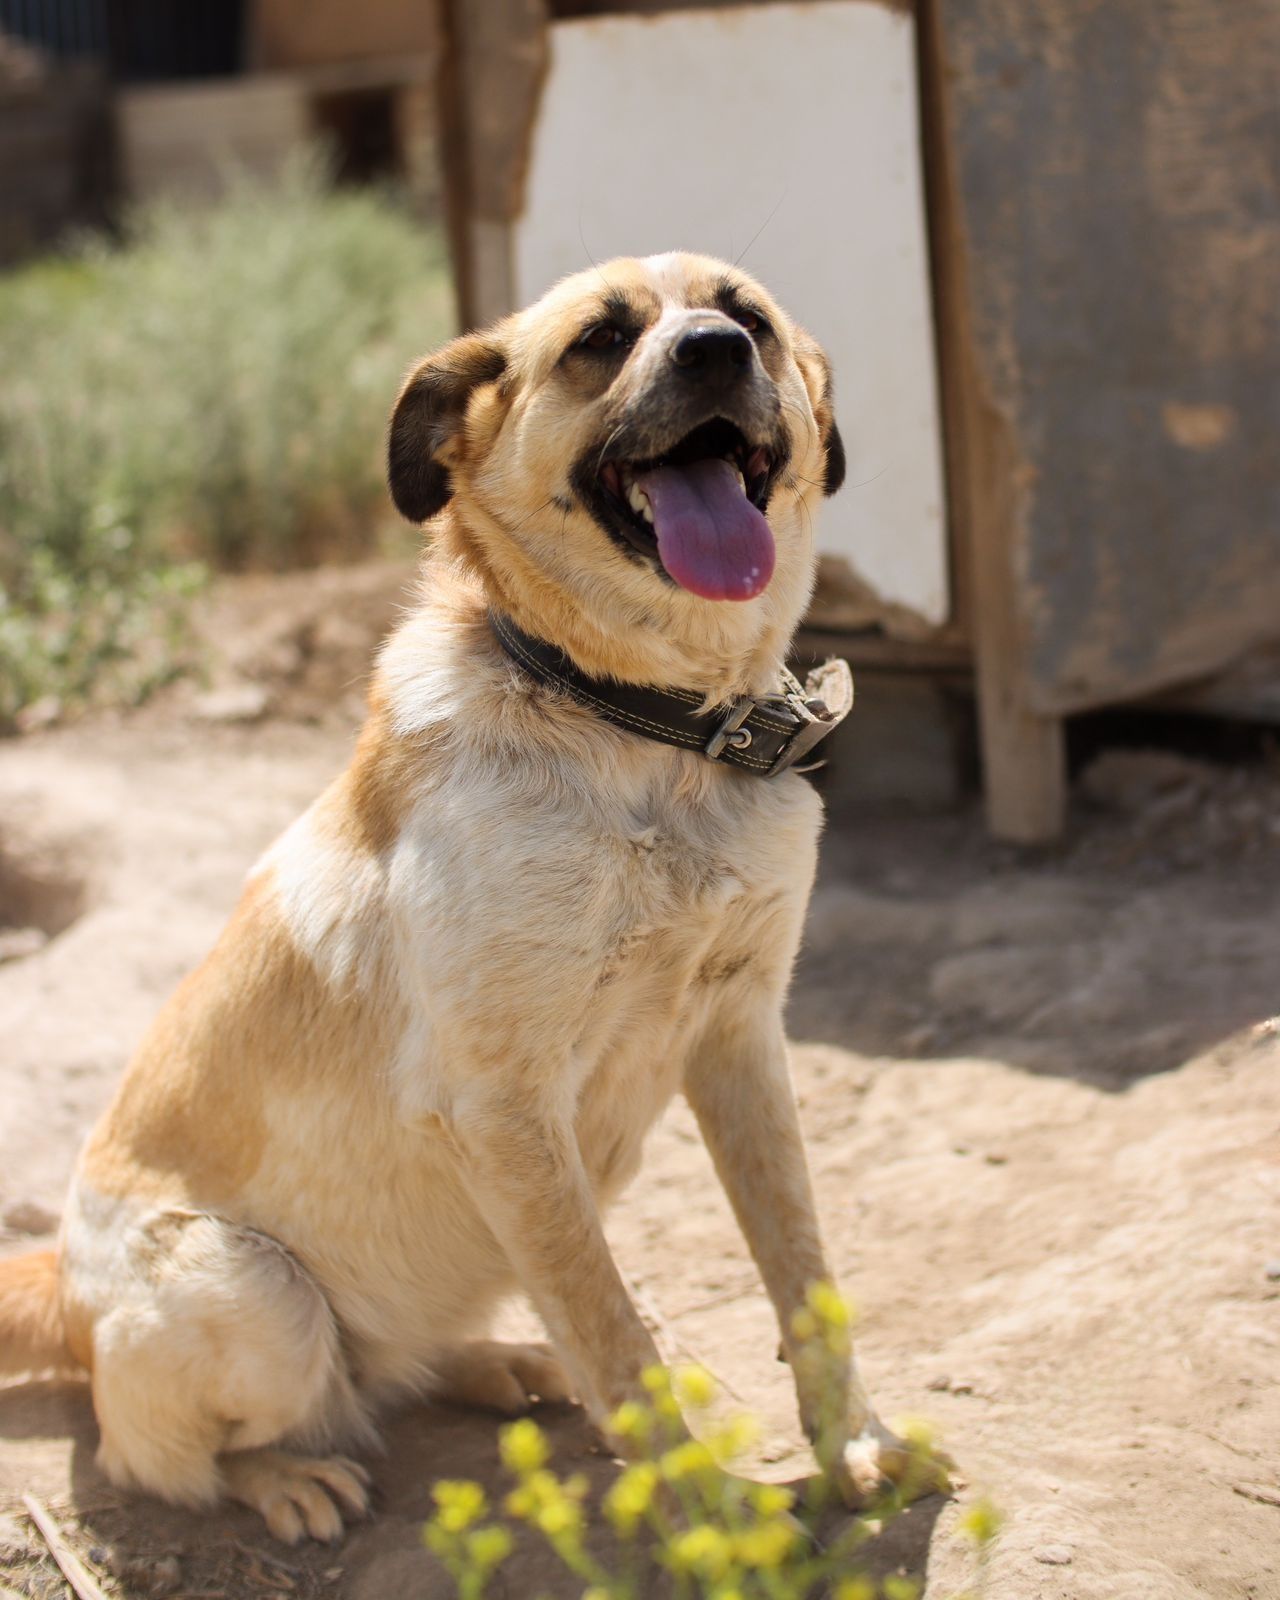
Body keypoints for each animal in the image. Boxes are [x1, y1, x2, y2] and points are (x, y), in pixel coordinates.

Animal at [2, 249, 940, 1536]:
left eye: (743, 317)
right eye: (600, 339)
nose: (710, 351)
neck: (642, 729)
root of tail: (60, 1285)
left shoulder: (742, 1037)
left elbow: (803, 1271)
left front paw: (856, 1445)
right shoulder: (503, 1109)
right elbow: (614, 1327)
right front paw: (703, 1521)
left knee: (401, 1367)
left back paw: (499, 1364)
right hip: (253, 1290)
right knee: (174, 1453)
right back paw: (288, 1476)